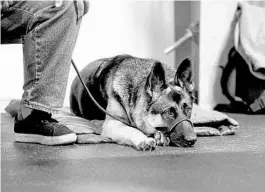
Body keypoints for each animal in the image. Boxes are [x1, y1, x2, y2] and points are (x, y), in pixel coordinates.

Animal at [69, 54, 197, 151]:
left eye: (188, 109)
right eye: (168, 112)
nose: (192, 140)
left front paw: (159, 135)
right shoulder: (112, 124)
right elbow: (132, 129)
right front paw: (144, 139)